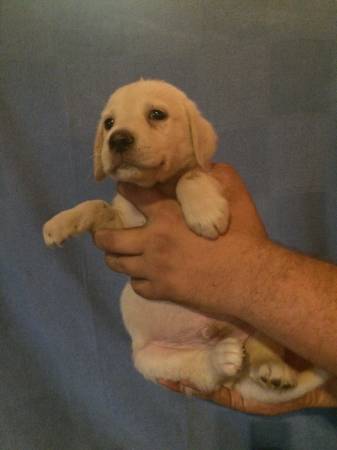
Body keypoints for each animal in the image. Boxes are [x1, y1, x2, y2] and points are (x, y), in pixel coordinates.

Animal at [42, 80, 328, 400]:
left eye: (157, 114)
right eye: (109, 123)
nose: (117, 140)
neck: (155, 187)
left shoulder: (210, 173)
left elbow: (190, 175)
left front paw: (204, 211)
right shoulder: (121, 224)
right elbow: (96, 205)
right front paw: (59, 223)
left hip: (263, 312)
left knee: (261, 347)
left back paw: (273, 369)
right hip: (151, 360)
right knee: (205, 371)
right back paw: (222, 358)